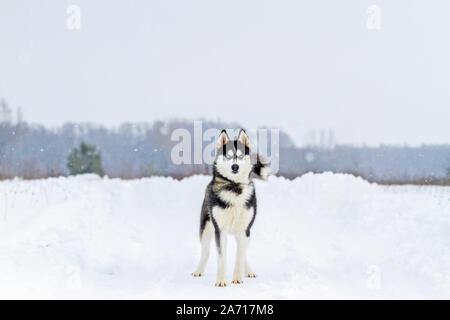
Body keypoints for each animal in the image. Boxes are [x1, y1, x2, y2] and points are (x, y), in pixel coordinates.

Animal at [191, 129, 268, 286]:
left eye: (240, 156)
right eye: (228, 156)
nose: (235, 166)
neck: (234, 187)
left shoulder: (245, 229)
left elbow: (240, 256)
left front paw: (238, 278)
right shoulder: (220, 231)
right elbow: (221, 258)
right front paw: (221, 281)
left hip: (245, 233)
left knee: (243, 252)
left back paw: (248, 270)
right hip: (206, 229)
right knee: (206, 251)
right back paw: (198, 270)